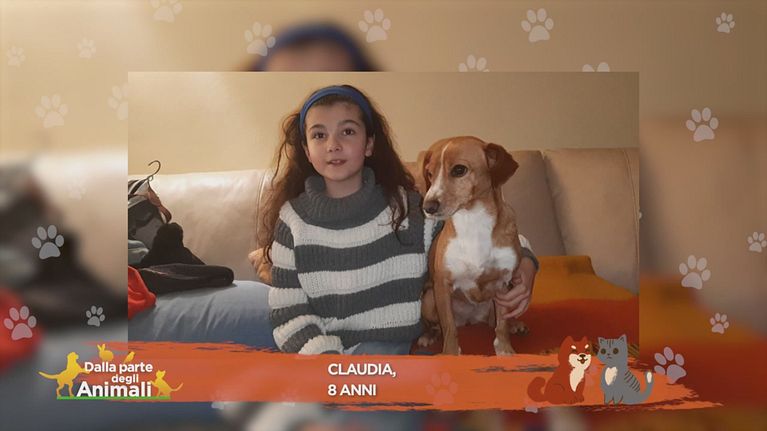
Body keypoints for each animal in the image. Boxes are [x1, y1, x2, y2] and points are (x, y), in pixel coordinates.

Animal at [417, 136, 527, 355]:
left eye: (459, 170)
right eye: (430, 174)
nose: (427, 207)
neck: (473, 220)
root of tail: (470, 320)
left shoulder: (503, 283)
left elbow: (501, 326)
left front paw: (505, 350)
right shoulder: (442, 285)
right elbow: (449, 329)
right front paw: (450, 354)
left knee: (497, 322)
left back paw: (515, 324)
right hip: (429, 299)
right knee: (437, 326)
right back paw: (428, 336)